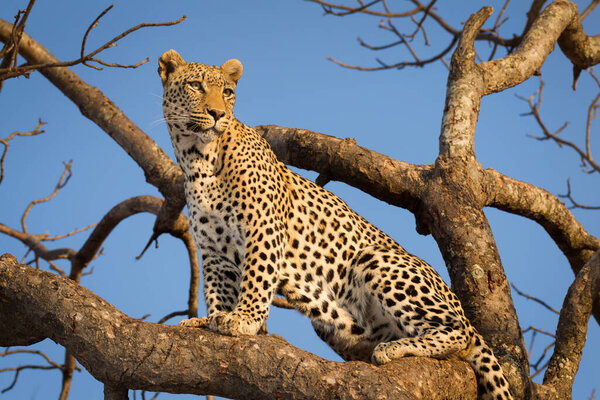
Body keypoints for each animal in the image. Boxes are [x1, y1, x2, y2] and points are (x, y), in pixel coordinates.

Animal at [158, 50, 510, 400]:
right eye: (195, 86)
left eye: (228, 92)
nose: (217, 113)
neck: (199, 159)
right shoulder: (214, 250)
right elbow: (217, 289)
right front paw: (212, 319)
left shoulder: (263, 228)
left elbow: (257, 278)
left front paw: (244, 319)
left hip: (378, 261)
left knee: (458, 334)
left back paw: (395, 348)